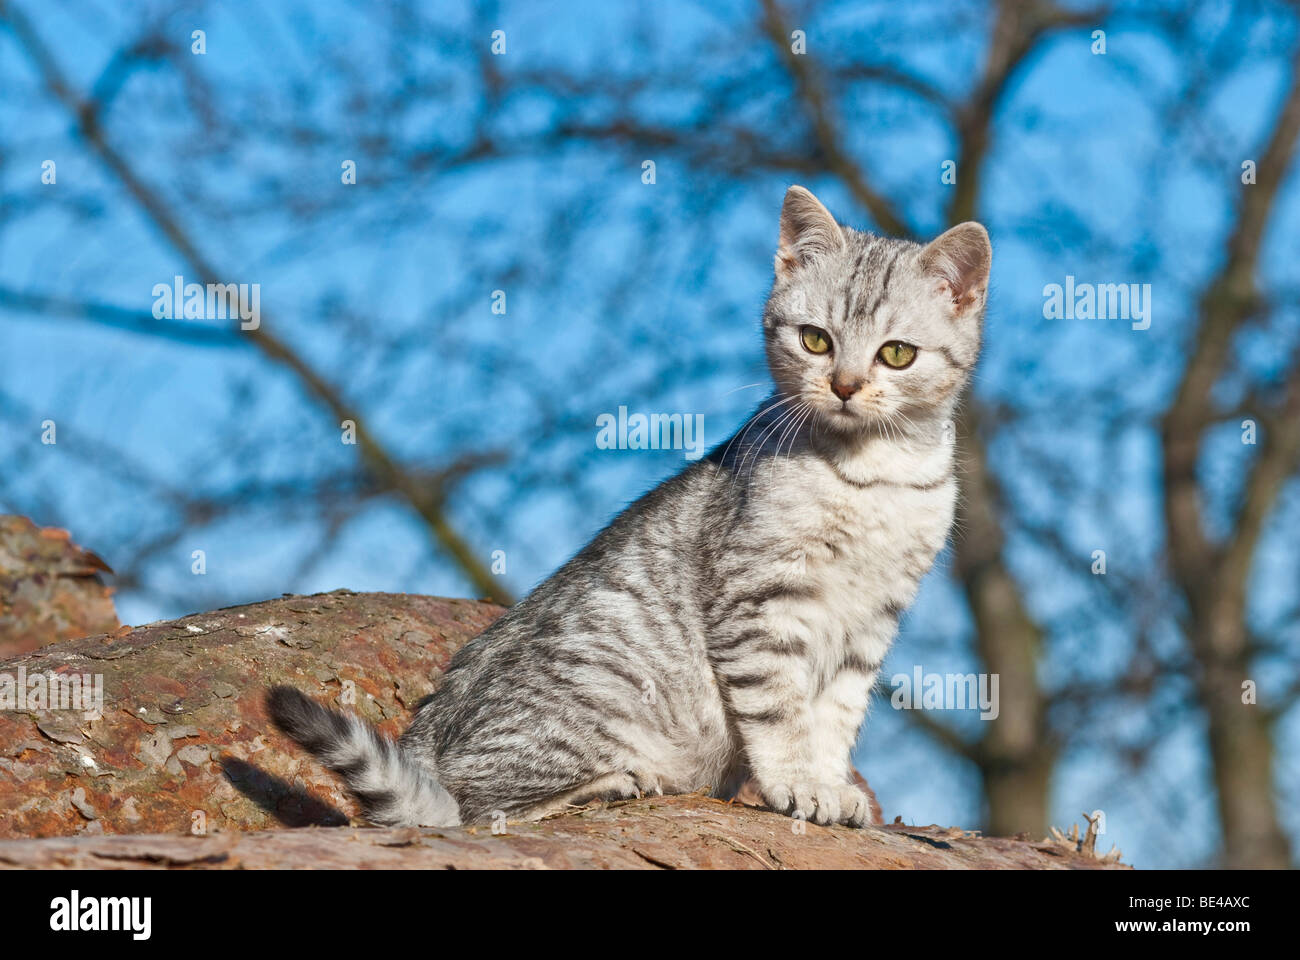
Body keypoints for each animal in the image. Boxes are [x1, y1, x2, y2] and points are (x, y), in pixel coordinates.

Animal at [269, 183, 987, 827]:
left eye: (896, 354)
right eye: (816, 340)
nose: (844, 386)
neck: (870, 474)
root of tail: (423, 743)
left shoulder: (870, 623)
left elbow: (835, 719)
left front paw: (829, 782)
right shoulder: (759, 600)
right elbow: (782, 712)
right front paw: (798, 783)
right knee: (471, 805)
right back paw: (614, 782)